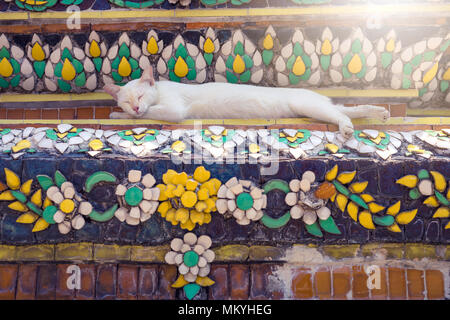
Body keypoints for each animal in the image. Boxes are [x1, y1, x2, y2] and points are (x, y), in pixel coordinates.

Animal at [103, 66, 388, 138]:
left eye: (140, 97)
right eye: (127, 101)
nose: (135, 106)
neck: (160, 90)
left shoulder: (173, 109)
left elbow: (151, 113)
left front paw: (121, 116)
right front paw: (120, 114)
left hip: (308, 106)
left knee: (342, 115)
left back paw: (348, 129)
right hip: (318, 108)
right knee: (348, 110)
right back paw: (380, 112)